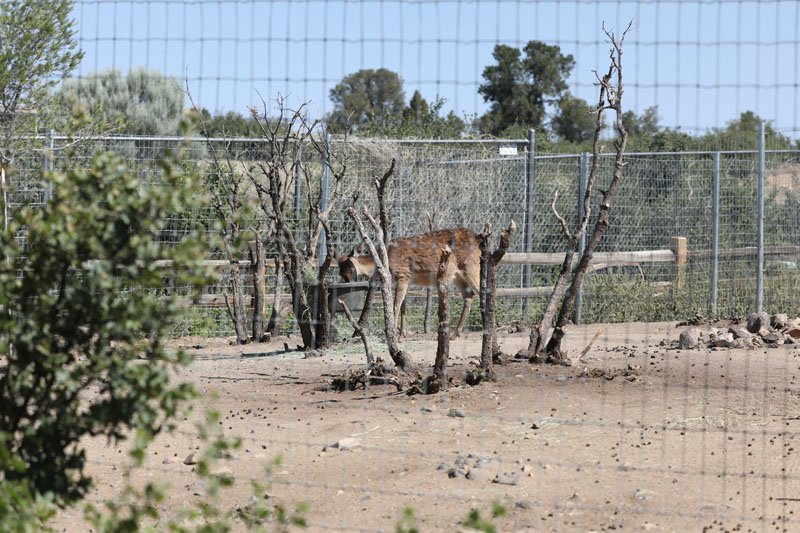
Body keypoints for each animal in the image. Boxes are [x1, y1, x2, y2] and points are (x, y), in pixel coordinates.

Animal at [337, 227, 481, 338]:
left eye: (347, 267)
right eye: (340, 272)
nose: (348, 282)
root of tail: (478, 239)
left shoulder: (403, 275)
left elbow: (395, 306)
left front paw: (393, 335)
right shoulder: (403, 279)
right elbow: (403, 307)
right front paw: (402, 335)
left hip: (472, 268)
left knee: (481, 290)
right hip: (457, 276)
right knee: (469, 296)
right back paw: (455, 334)